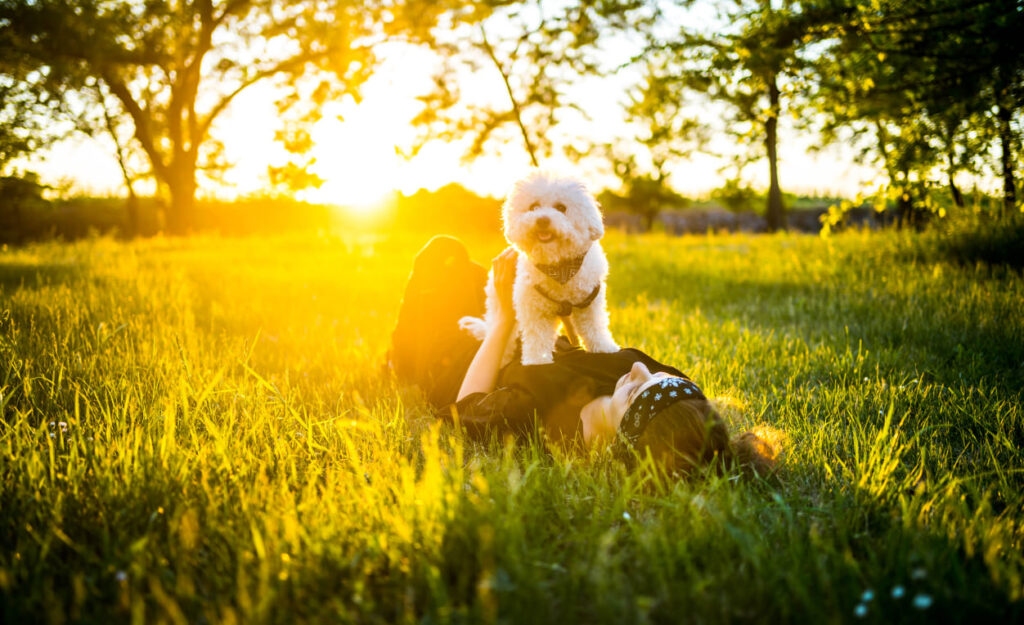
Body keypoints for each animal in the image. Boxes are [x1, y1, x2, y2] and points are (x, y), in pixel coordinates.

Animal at [462, 170, 618, 364]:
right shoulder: (533, 307)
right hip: (497, 306)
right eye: (533, 206)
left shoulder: (589, 301)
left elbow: (594, 327)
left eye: (561, 207)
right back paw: (502, 359)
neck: (559, 266)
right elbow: (537, 336)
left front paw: (604, 348)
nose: (542, 220)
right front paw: (537, 361)